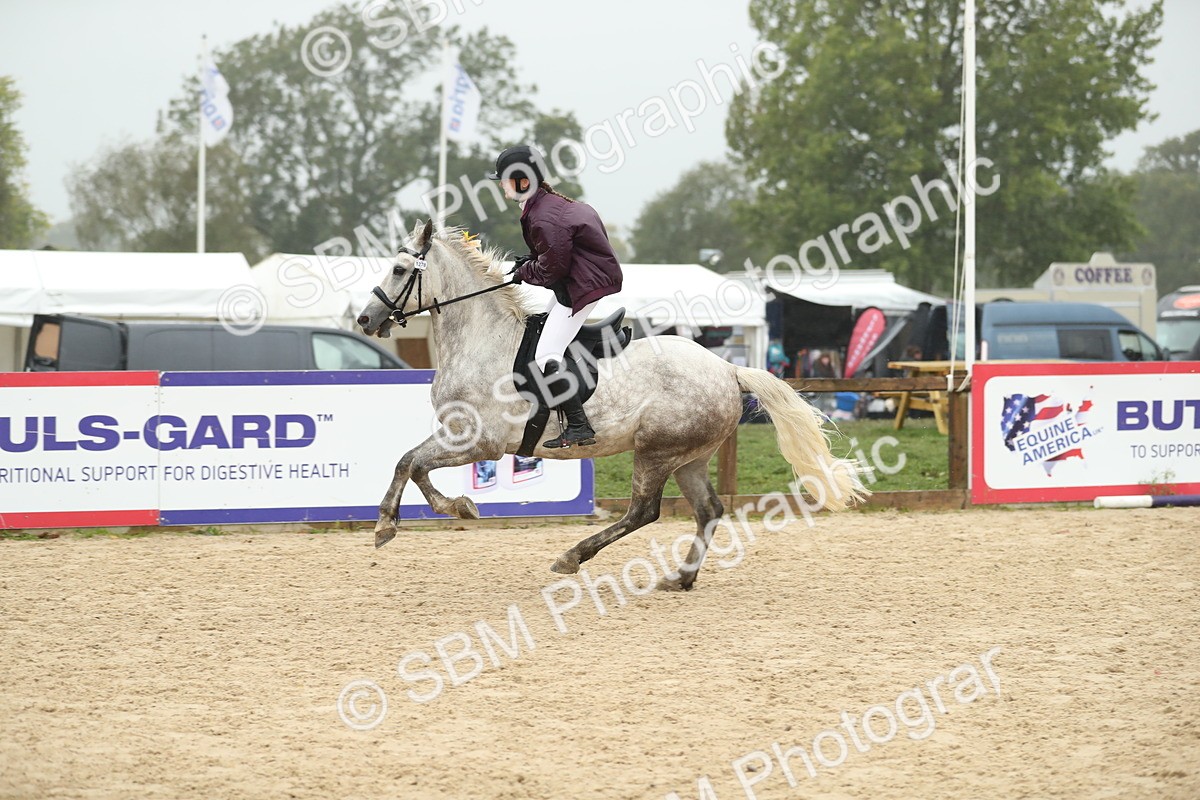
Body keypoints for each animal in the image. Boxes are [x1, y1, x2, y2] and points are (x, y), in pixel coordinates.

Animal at [355, 220, 868, 590]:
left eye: (398, 270)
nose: (365, 318)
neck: (482, 341)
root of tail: (726, 368)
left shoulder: (479, 442)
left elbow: (410, 463)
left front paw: (406, 520)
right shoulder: (462, 437)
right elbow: (411, 463)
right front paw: (437, 511)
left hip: (657, 451)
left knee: (644, 512)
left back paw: (572, 557)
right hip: (690, 457)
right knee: (708, 510)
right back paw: (681, 578)